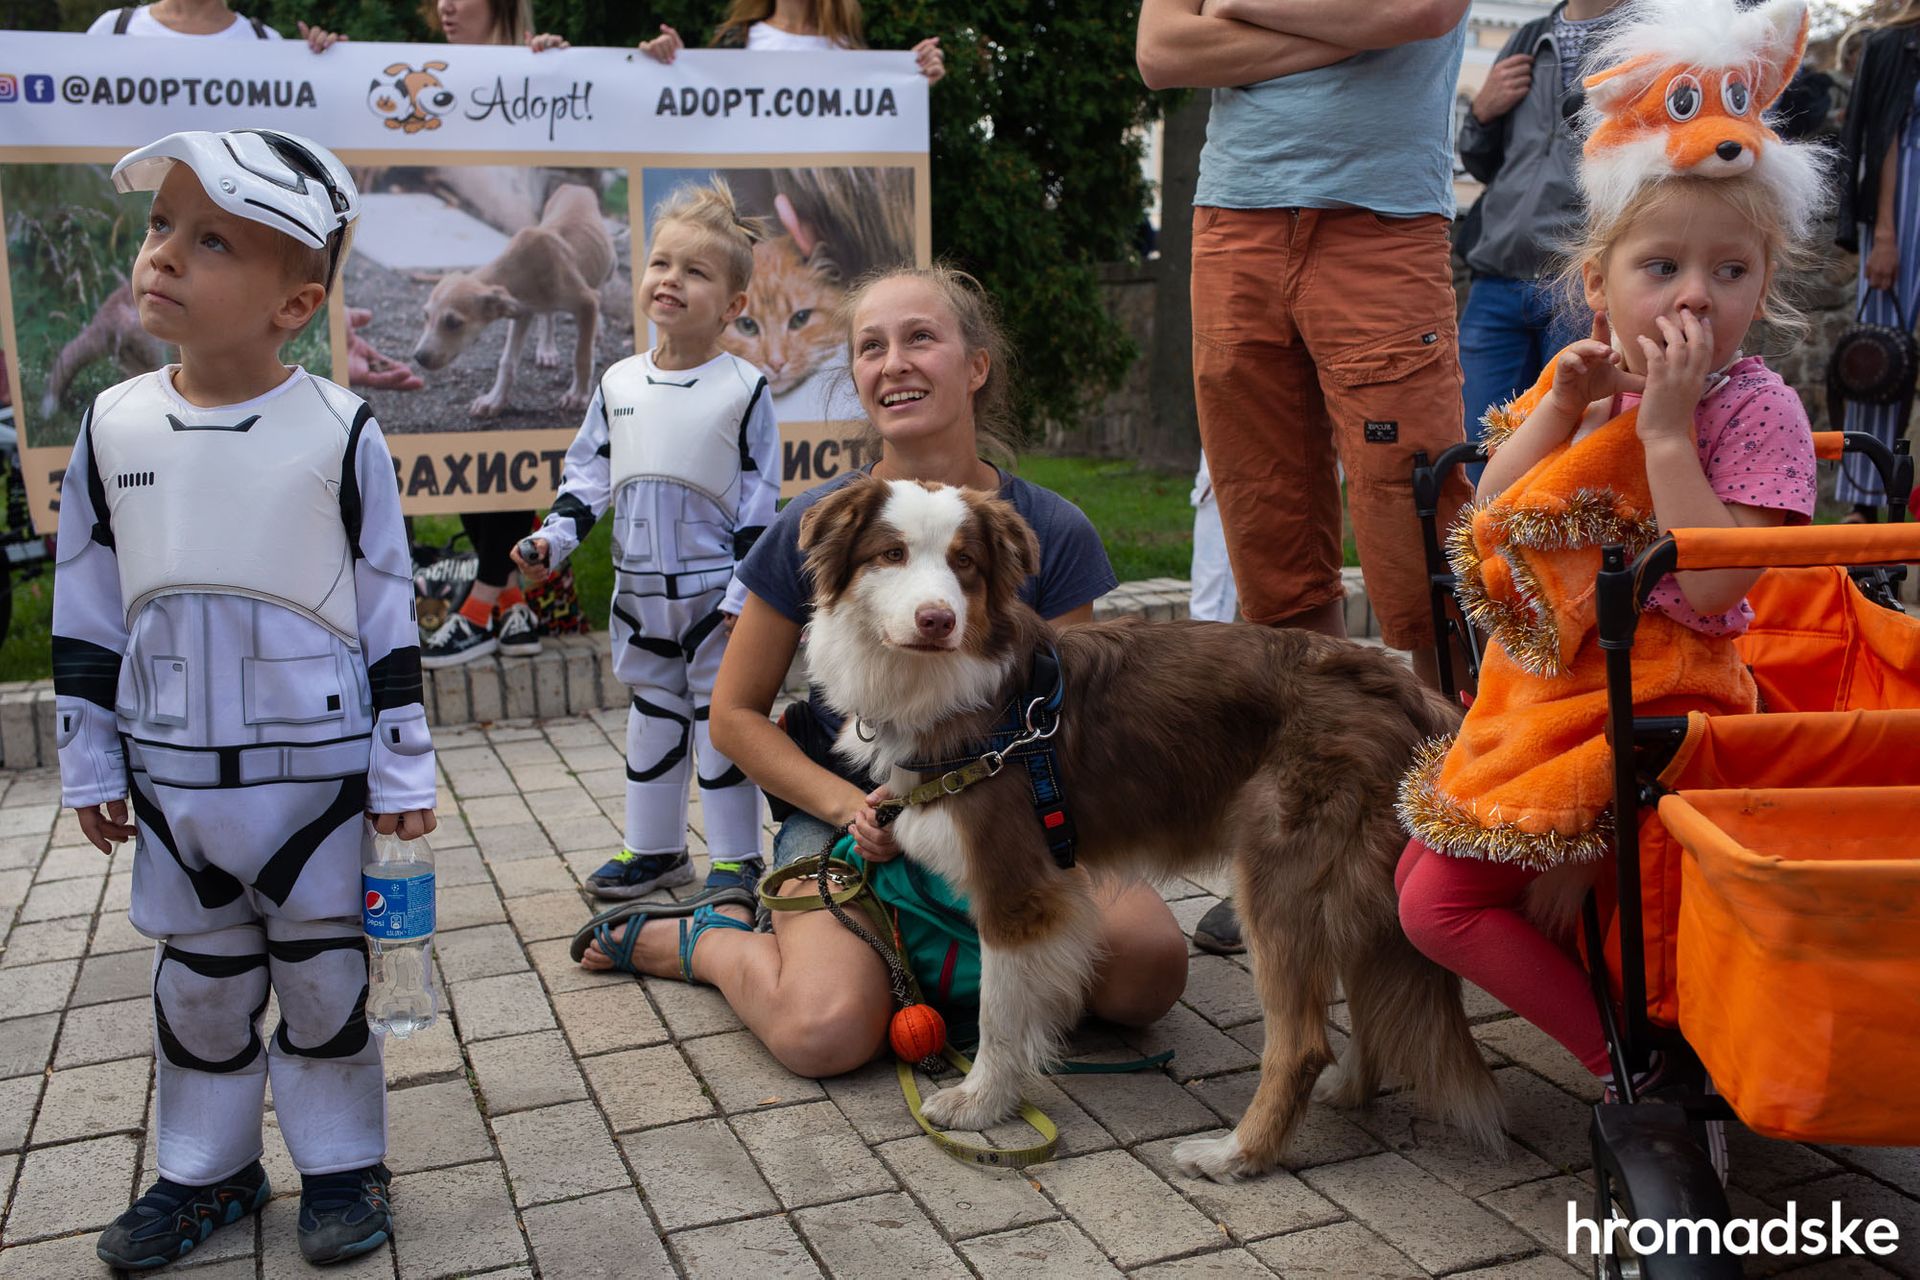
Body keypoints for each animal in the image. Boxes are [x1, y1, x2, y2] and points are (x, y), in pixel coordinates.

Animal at [412, 184, 614, 420]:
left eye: (453, 322)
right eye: (426, 316)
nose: (419, 357)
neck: (523, 267)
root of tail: (575, 186)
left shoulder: (586, 302)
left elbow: (581, 354)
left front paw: (578, 396)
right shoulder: (522, 311)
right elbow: (507, 362)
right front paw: (494, 400)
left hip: (609, 265)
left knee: (600, 290)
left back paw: (597, 328)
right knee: (549, 315)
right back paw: (547, 350)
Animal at [802, 475, 1505, 1189]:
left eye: (964, 562)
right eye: (891, 554)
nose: (937, 620)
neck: (971, 691)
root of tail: (1408, 692)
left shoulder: (1016, 887)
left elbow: (998, 1012)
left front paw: (981, 1103)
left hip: (1281, 881)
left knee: (1303, 1043)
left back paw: (1235, 1155)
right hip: (1357, 894)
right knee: (1375, 1003)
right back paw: (1347, 1090)